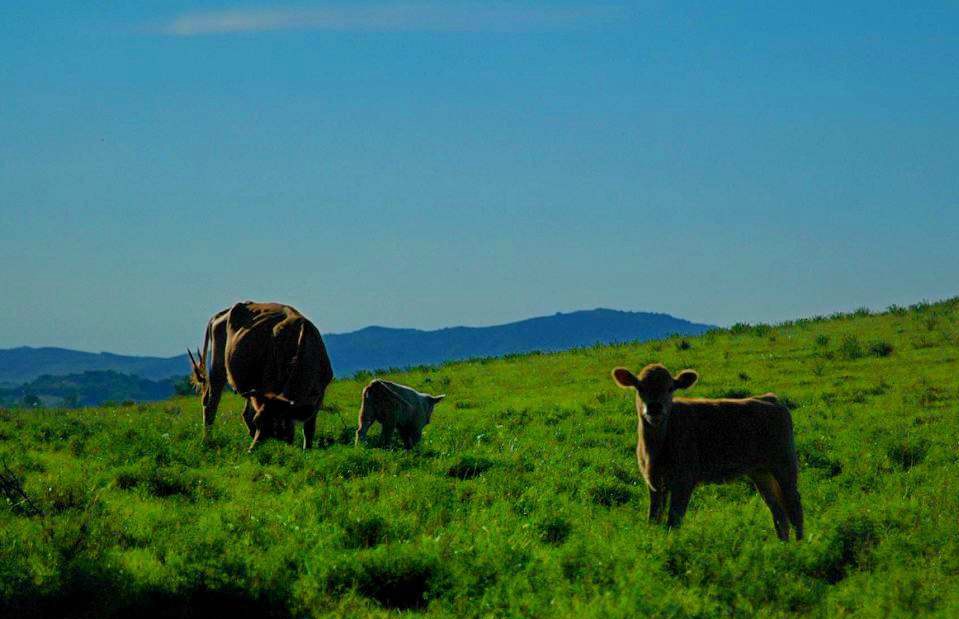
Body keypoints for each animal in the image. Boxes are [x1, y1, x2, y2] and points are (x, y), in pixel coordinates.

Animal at [189, 302, 336, 452]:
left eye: (277, 427)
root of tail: (223, 313)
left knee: (244, 413)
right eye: (258, 422)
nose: (251, 451)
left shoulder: (318, 396)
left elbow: (309, 428)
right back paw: (207, 441)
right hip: (218, 369)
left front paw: (307, 450)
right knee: (211, 405)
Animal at [612, 366, 808, 540]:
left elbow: (673, 521)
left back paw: (800, 544)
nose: (654, 407)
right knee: (777, 510)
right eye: (640, 387)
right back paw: (783, 543)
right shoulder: (653, 483)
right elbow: (653, 519)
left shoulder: (684, 481)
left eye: (670, 388)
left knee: (794, 505)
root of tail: (770, 399)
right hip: (761, 473)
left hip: (784, 464)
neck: (655, 449)